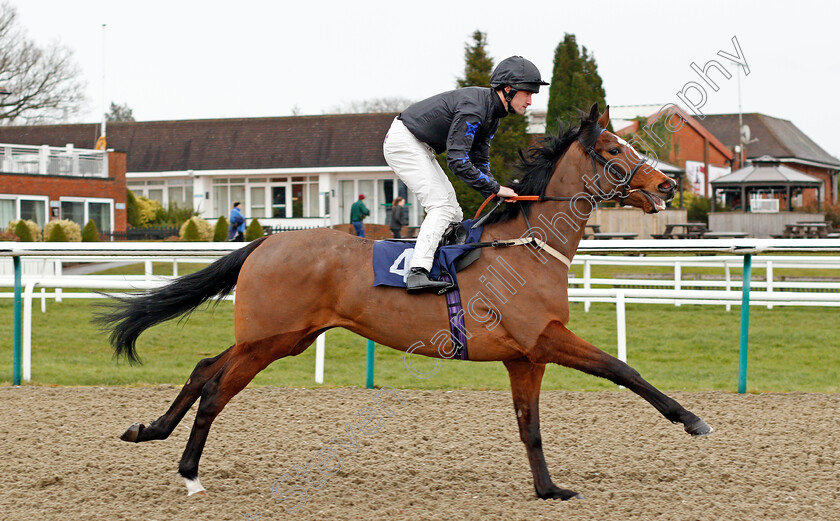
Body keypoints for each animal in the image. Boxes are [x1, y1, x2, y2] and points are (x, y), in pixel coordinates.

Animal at [101, 103, 712, 498]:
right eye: (612, 149)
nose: (667, 186)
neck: (528, 246)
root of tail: (267, 240)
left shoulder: (525, 357)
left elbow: (530, 426)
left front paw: (549, 489)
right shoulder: (546, 338)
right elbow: (622, 369)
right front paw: (692, 420)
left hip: (281, 337)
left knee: (204, 368)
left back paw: (148, 431)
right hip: (268, 340)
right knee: (215, 391)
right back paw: (188, 472)